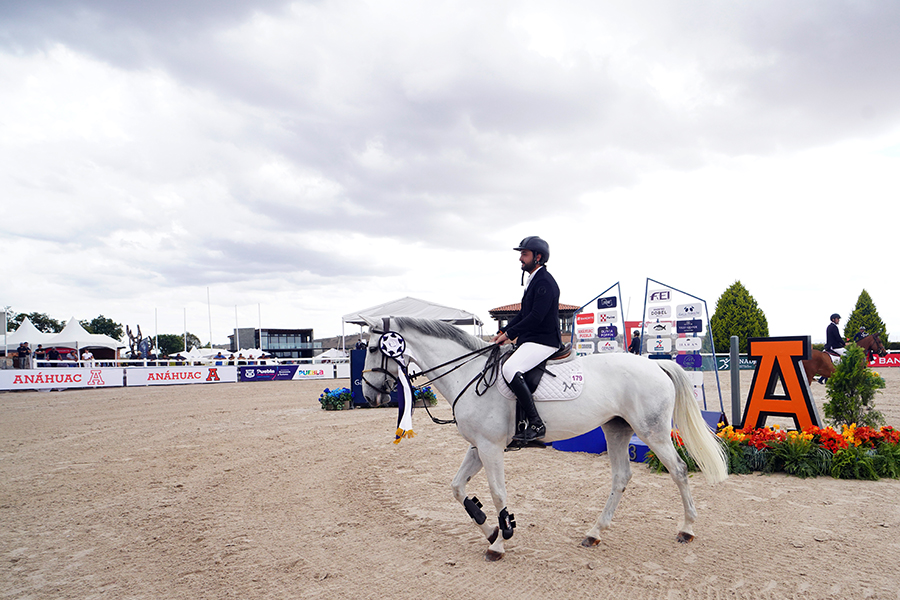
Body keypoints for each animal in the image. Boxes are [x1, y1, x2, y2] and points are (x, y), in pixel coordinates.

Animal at [362, 316, 728, 560]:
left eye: (373, 348)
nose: (368, 394)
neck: (469, 374)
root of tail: (656, 365)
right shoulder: (478, 447)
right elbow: (456, 488)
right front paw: (489, 527)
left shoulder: (491, 448)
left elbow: (497, 492)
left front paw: (500, 539)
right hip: (616, 429)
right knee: (621, 477)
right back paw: (594, 533)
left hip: (652, 431)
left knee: (679, 470)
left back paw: (687, 529)